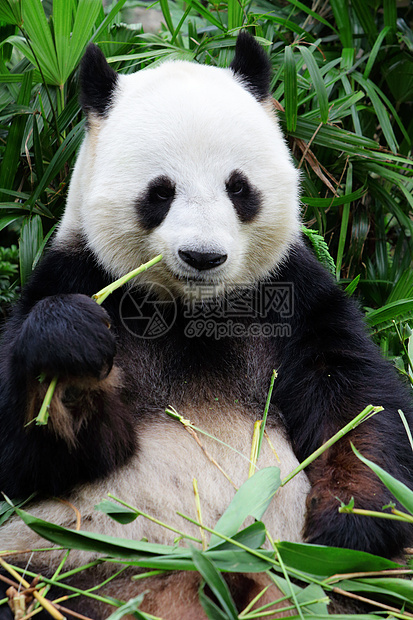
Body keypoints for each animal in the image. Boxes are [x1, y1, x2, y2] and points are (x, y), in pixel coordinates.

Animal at [0, 32, 412, 620]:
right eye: (160, 191)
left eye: (238, 188)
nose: (203, 257)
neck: (195, 311)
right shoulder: (79, 273)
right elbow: (31, 456)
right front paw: (70, 352)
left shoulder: (292, 296)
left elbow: (356, 405)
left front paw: (348, 526)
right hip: (75, 558)